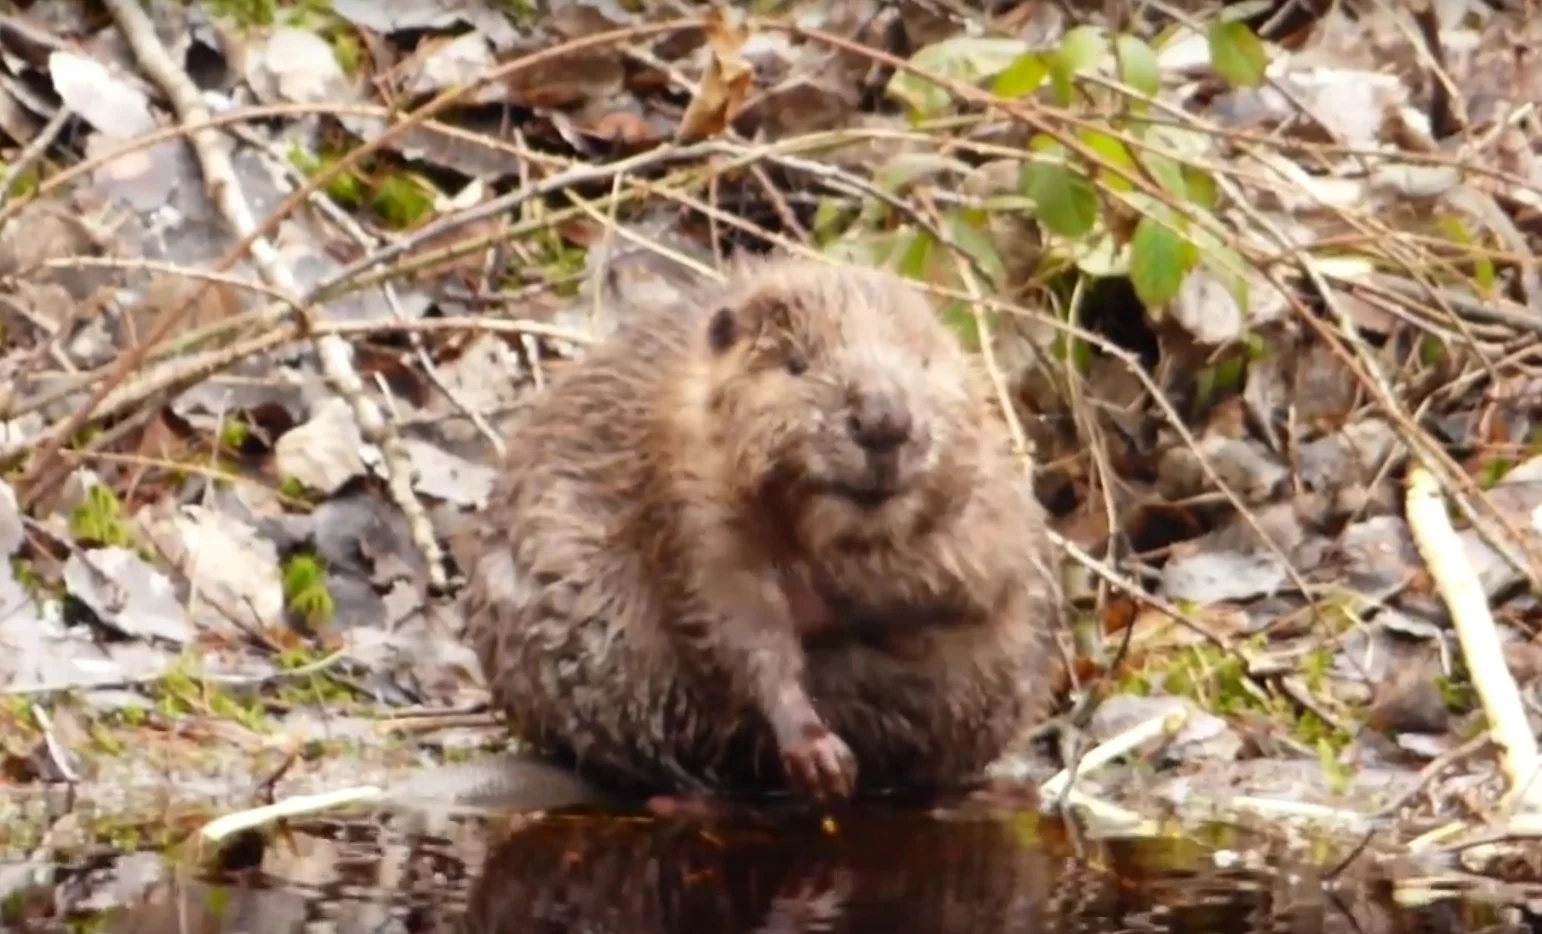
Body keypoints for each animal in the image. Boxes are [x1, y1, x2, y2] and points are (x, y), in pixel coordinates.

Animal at [453, 254, 1060, 807]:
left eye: (925, 361)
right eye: (796, 363)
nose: (884, 421)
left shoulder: (993, 493)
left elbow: (981, 577)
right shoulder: (688, 489)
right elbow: (734, 621)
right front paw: (822, 757)